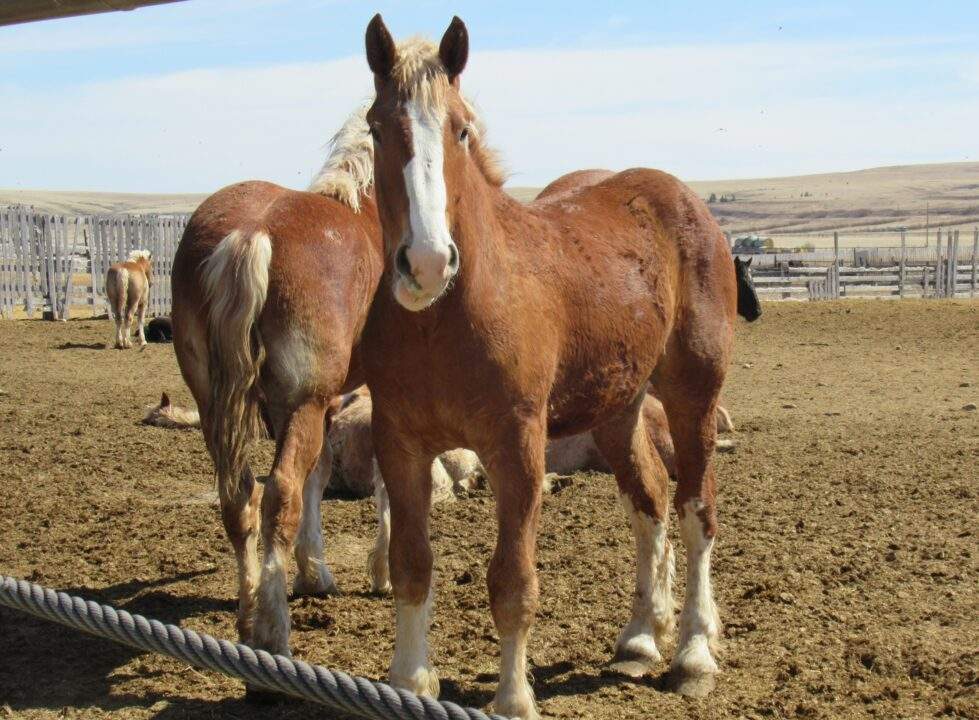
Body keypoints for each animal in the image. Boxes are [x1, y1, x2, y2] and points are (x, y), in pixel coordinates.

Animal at [170, 106, 384, 659]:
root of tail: (253, 232)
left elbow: (319, 474)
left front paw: (314, 573)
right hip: (301, 403)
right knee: (279, 493)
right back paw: (273, 631)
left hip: (216, 404)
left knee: (240, 496)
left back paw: (249, 613)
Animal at [361, 16, 738, 716]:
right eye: (376, 127)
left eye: (460, 128)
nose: (426, 262)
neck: (444, 318)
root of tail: (685, 201)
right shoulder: (400, 443)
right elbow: (411, 564)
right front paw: (409, 681)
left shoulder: (516, 445)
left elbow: (512, 580)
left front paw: (513, 697)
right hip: (618, 409)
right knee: (650, 498)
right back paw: (641, 639)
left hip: (693, 395)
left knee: (697, 509)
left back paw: (694, 652)